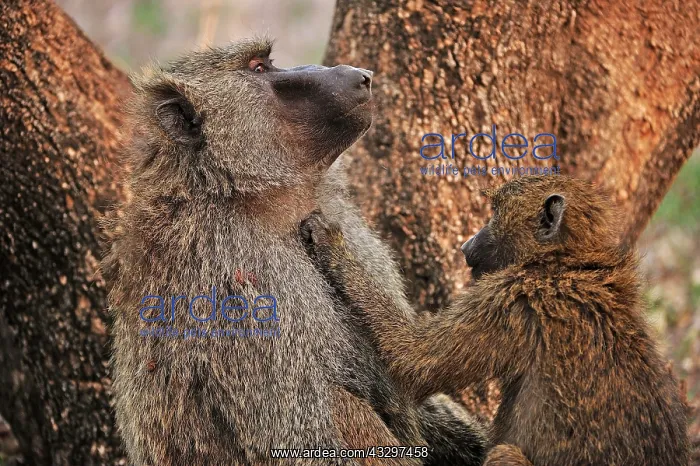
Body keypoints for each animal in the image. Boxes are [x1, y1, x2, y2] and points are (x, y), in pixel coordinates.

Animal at [102, 38, 486, 466]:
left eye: (269, 62)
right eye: (258, 68)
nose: (362, 76)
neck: (250, 194)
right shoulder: (236, 284)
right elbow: (296, 436)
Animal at [300, 175, 690, 466]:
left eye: (493, 214)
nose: (466, 244)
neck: (567, 263)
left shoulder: (510, 297)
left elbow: (411, 359)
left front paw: (332, 244)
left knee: (504, 454)